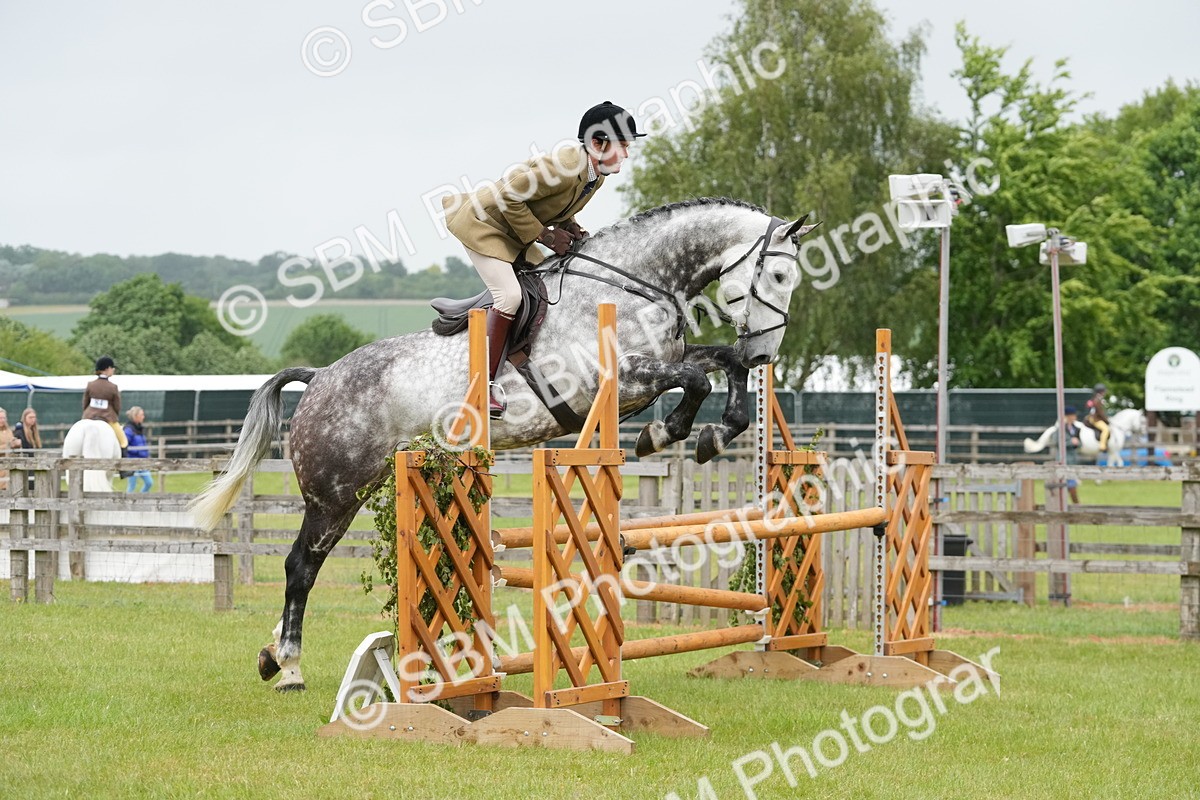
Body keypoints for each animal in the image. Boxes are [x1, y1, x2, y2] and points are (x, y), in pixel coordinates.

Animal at [189, 197, 816, 691]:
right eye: (778, 278)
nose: (766, 352)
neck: (634, 283)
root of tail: (320, 376)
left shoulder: (658, 368)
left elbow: (719, 365)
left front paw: (716, 431)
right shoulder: (621, 379)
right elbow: (697, 380)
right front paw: (664, 433)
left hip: (356, 491)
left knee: (309, 564)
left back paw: (271, 654)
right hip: (334, 493)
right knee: (300, 565)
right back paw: (290, 668)